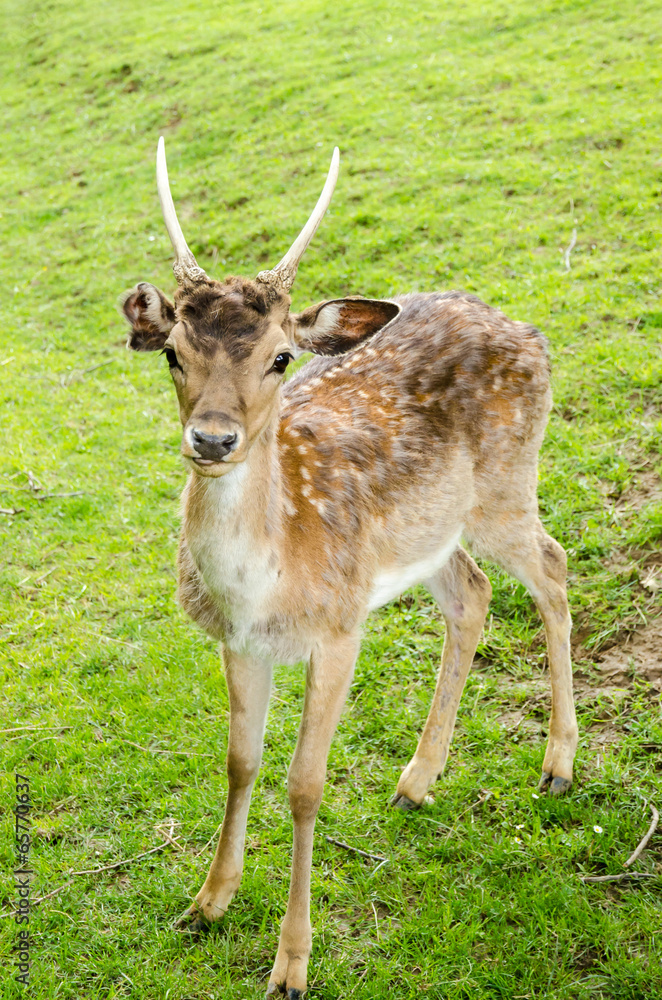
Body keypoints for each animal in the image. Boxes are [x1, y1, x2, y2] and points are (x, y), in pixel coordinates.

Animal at [120, 138, 578, 999]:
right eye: (172, 354)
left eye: (280, 357)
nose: (213, 439)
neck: (261, 585)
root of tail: (529, 330)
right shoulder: (239, 641)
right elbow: (239, 762)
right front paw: (207, 902)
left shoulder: (338, 628)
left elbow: (304, 784)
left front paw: (291, 965)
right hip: (427, 537)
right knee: (472, 593)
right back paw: (415, 780)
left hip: (507, 484)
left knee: (554, 569)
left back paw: (559, 765)